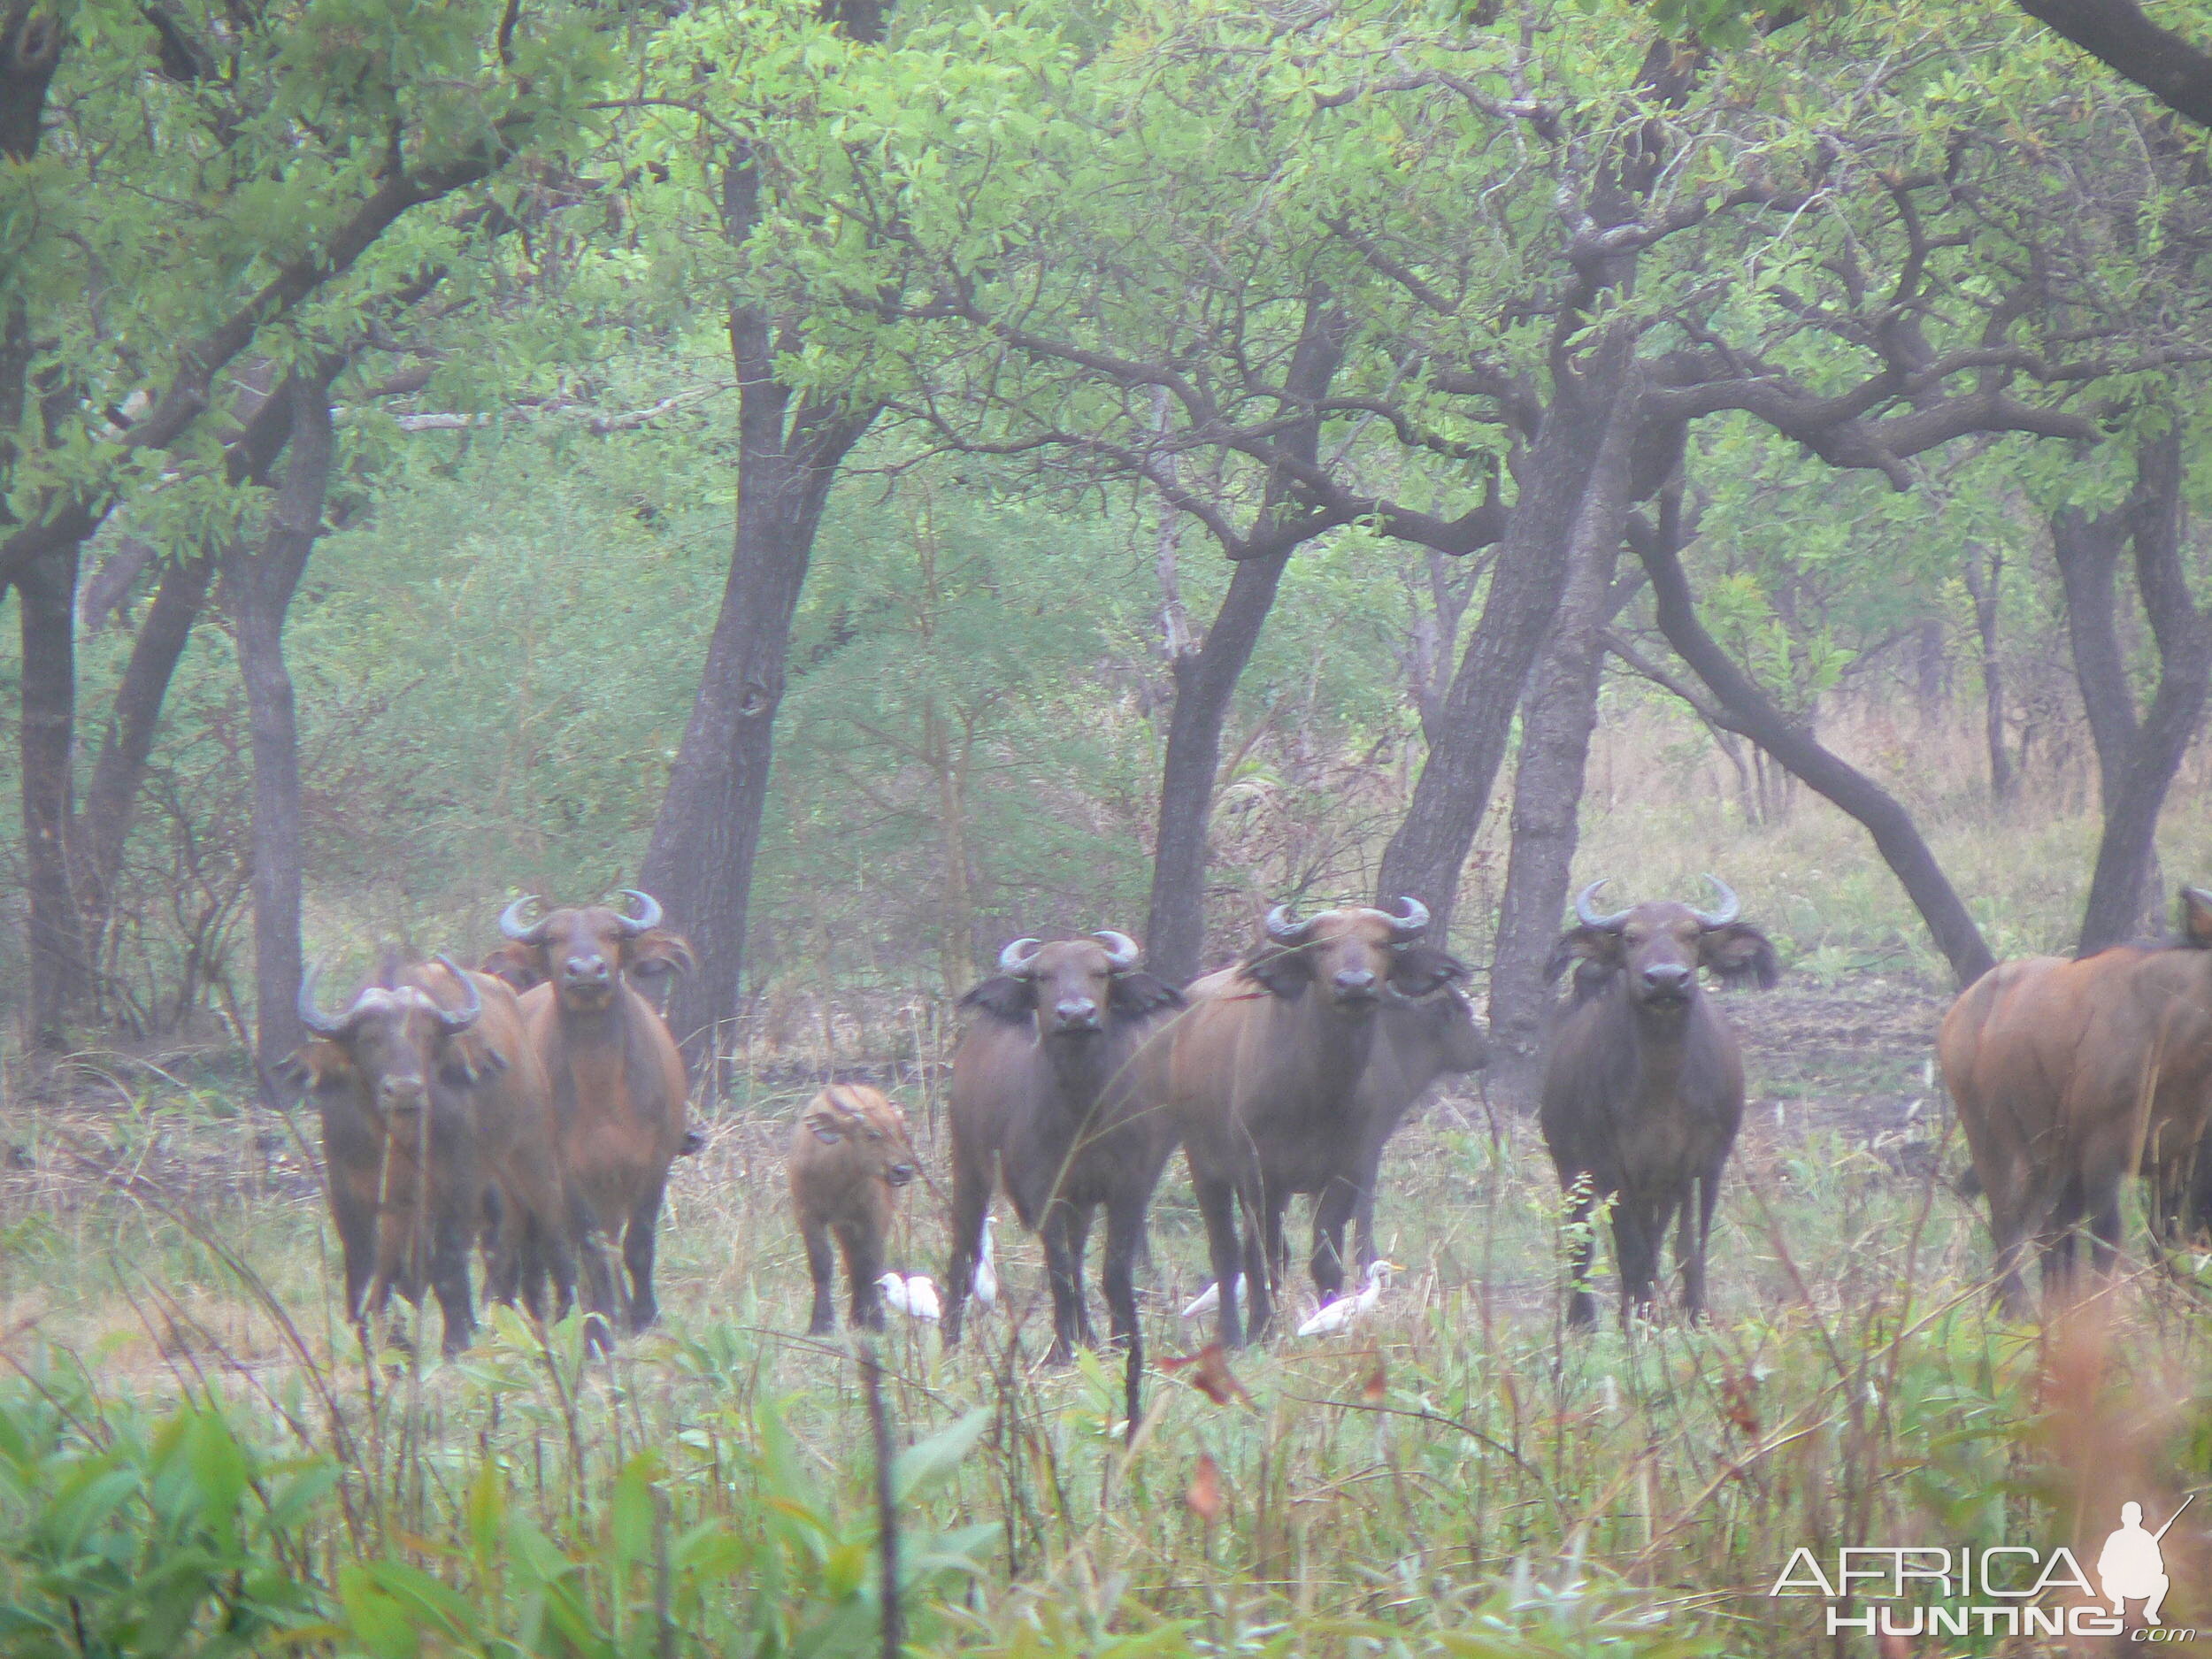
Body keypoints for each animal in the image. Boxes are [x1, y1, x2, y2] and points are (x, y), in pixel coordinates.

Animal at [285, 956, 580, 1354]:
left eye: (425, 1037)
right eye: (368, 1039)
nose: (405, 1091)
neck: (398, 1141)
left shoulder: (456, 1189)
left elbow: (448, 1268)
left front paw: (455, 1342)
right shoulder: (350, 1195)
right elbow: (366, 1271)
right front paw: (379, 1341)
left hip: (532, 1161)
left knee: (550, 1236)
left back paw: (570, 1317)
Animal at [792, 1093, 920, 1336]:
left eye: (900, 1132)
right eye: (872, 1134)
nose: (903, 1171)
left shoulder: (873, 1215)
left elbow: (869, 1262)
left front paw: (876, 1321)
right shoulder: (808, 1215)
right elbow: (821, 1262)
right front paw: (820, 1324)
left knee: (858, 1261)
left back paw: (860, 1317)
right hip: (843, 1225)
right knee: (850, 1259)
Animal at [951, 938, 1194, 1363]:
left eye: (1099, 973)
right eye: (1043, 976)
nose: (1076, 1014)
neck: (1084, 1114)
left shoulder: (1129, 1187)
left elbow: (1114, 1266)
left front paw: (1122, 1339)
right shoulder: (1045, 1191)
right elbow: (1059, 1267)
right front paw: (1064, 1345)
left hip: (1080, 1202)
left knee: (1079, 1255)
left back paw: (1089, 1335)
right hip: (968, 1168)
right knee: (963, 1252)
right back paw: (949, 1337)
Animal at [1540, 876, 1778, 1336]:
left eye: (1692, 934)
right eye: (1631, 937)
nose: (1666, 980)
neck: (1662, 1087)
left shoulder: (1704, 1165)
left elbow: (1689, 1246)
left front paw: (1694, 1315)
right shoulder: (1612, 1168)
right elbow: (1626, 1249)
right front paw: (1635, 1319)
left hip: (1661, 1188)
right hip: (1571, 1167)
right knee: (1583, 1242)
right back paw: (1584, 1320)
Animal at [1938, 885, 2212, 1310]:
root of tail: (1959, 1013)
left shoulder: (2177, 1155)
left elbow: (2166, 1239)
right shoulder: (2102, 1153)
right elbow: (2109, 1237)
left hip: (2050, 1161)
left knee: (2046, 1230)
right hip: (1997, 1148)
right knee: (2010, 1229)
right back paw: (2018, 1312)